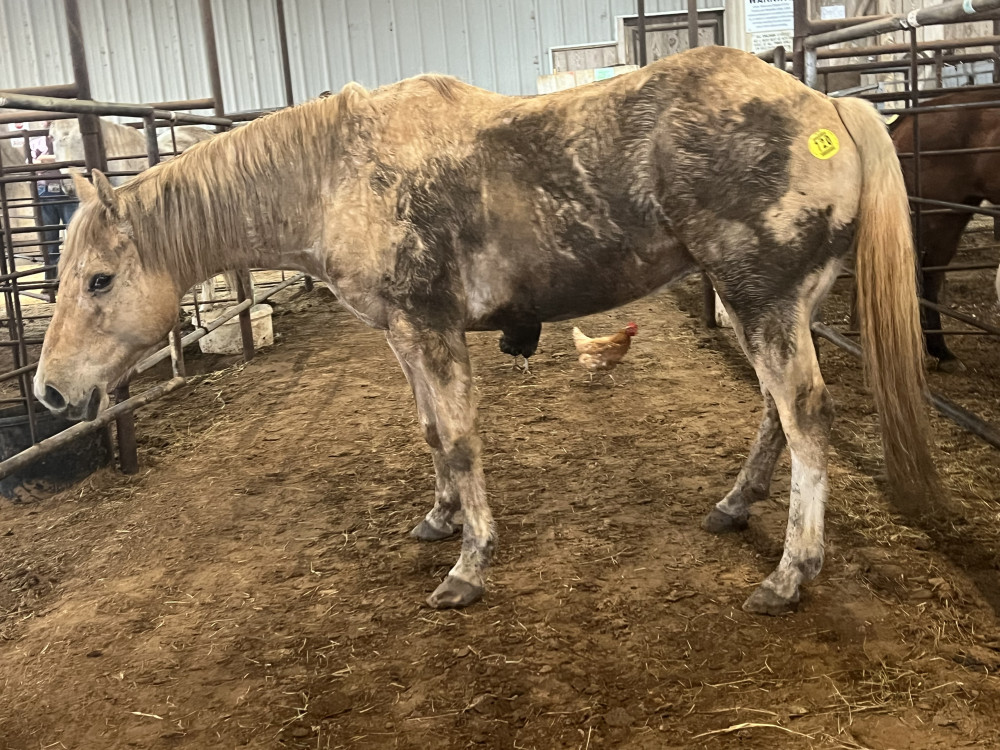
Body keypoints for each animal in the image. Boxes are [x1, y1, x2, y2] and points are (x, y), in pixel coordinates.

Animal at [32, 46, 936, 616]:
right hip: (780, 305)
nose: (47, 390)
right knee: (776, 416)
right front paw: (441, 519)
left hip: (763, 301)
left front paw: (469, 565)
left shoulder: (433, 331)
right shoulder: (401, 337)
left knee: (805, 417)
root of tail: (826, 105)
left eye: (99, 279)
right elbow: (432, 432)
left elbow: (464, 440)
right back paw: (734, 505)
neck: (341, 176)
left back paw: (791, 575)